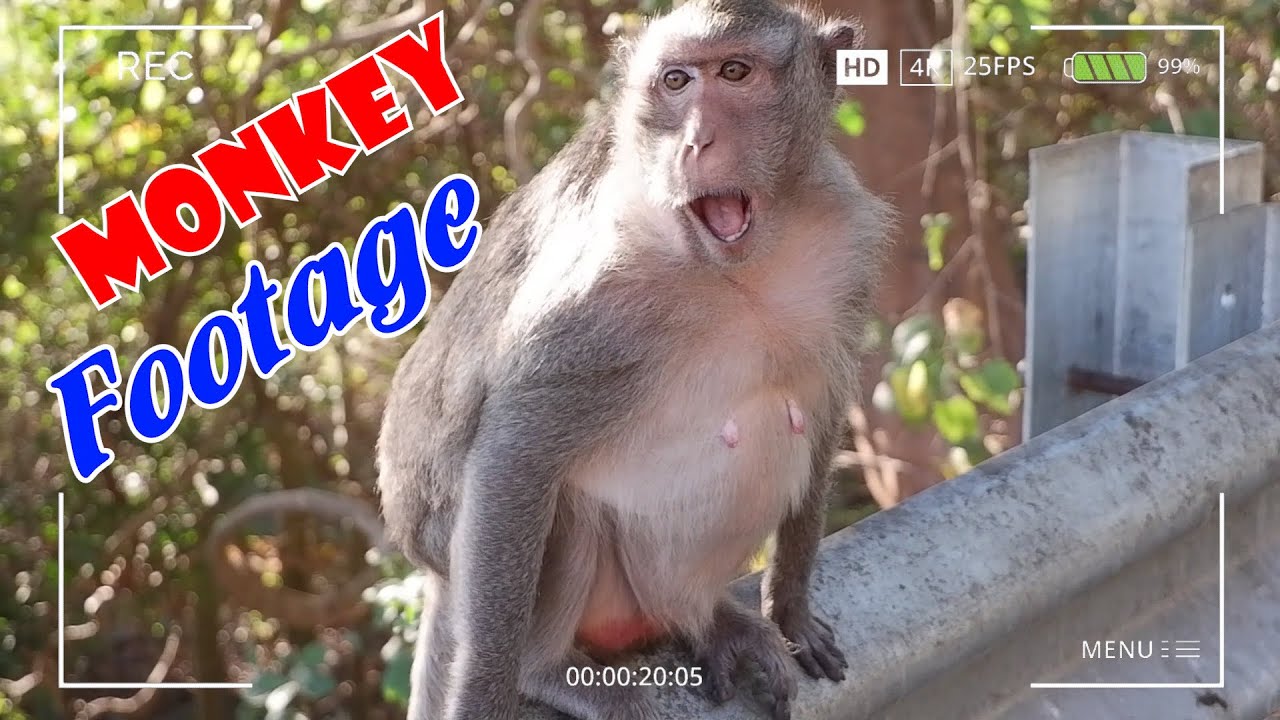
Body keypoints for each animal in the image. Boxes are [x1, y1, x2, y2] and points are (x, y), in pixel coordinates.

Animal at [375, 1, 893, 719]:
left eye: (736, 73)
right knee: (560, 500)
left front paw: (788, 608)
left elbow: (824, 411)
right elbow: (515, 454)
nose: (695, 143)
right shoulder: (597, 296)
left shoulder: (844, 243)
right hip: (464, 552)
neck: (734, 271)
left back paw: (713, 626)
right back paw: (543, 671)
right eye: (676, 82)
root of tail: (430, 573)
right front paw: (484, 696)